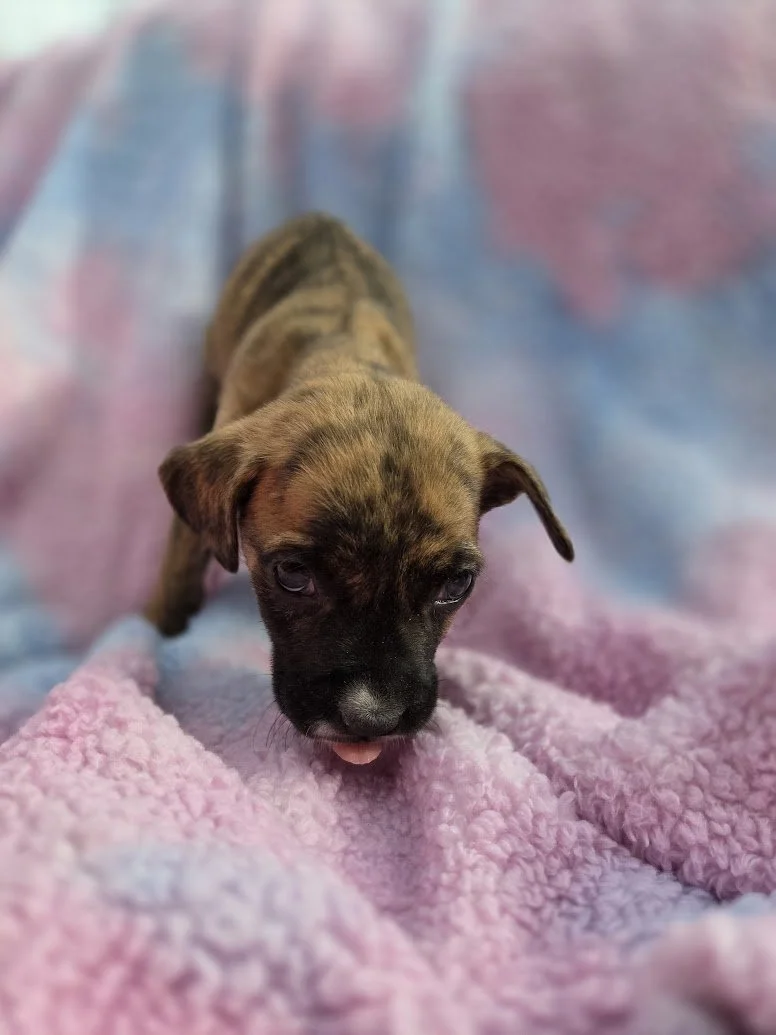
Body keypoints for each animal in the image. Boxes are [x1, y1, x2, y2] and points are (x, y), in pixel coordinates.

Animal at [144, 212, 574, 763]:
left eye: (457, 585)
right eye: (292, 574)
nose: (373, 720)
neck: (343, 357)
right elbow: (179, 573)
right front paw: (155, 641)